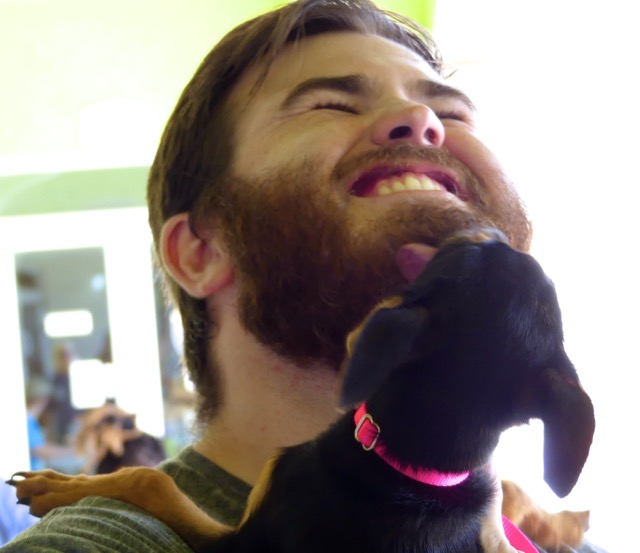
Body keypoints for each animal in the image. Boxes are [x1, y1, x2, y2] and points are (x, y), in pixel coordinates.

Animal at [10, 229, 592, 552]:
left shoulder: (239, 541)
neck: (408, 465)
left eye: (476, 246)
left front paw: (54, 487)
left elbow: (151, 482)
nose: (483, 224)